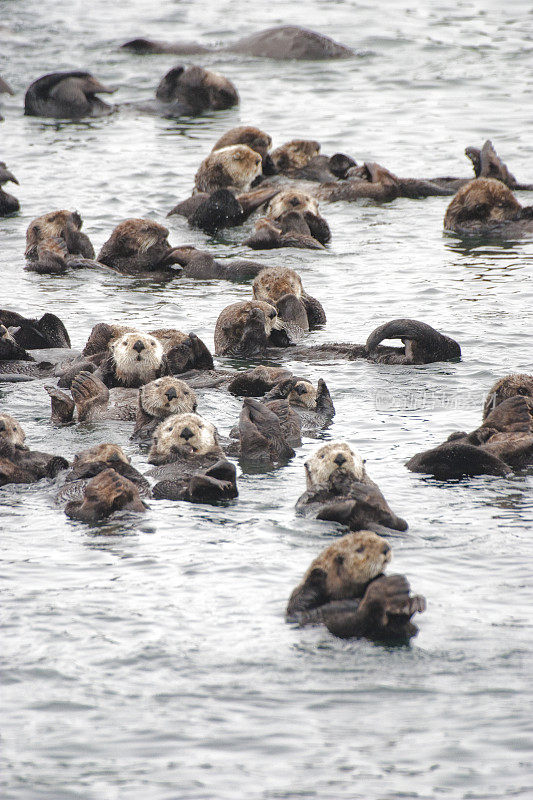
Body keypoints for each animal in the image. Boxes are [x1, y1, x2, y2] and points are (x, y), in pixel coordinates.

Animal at [284, 532, 426, 644]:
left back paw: (410, 604)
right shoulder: (301, 603)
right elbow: (305, 609)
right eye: (360, 549)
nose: (386, 548)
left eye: (376, 536)